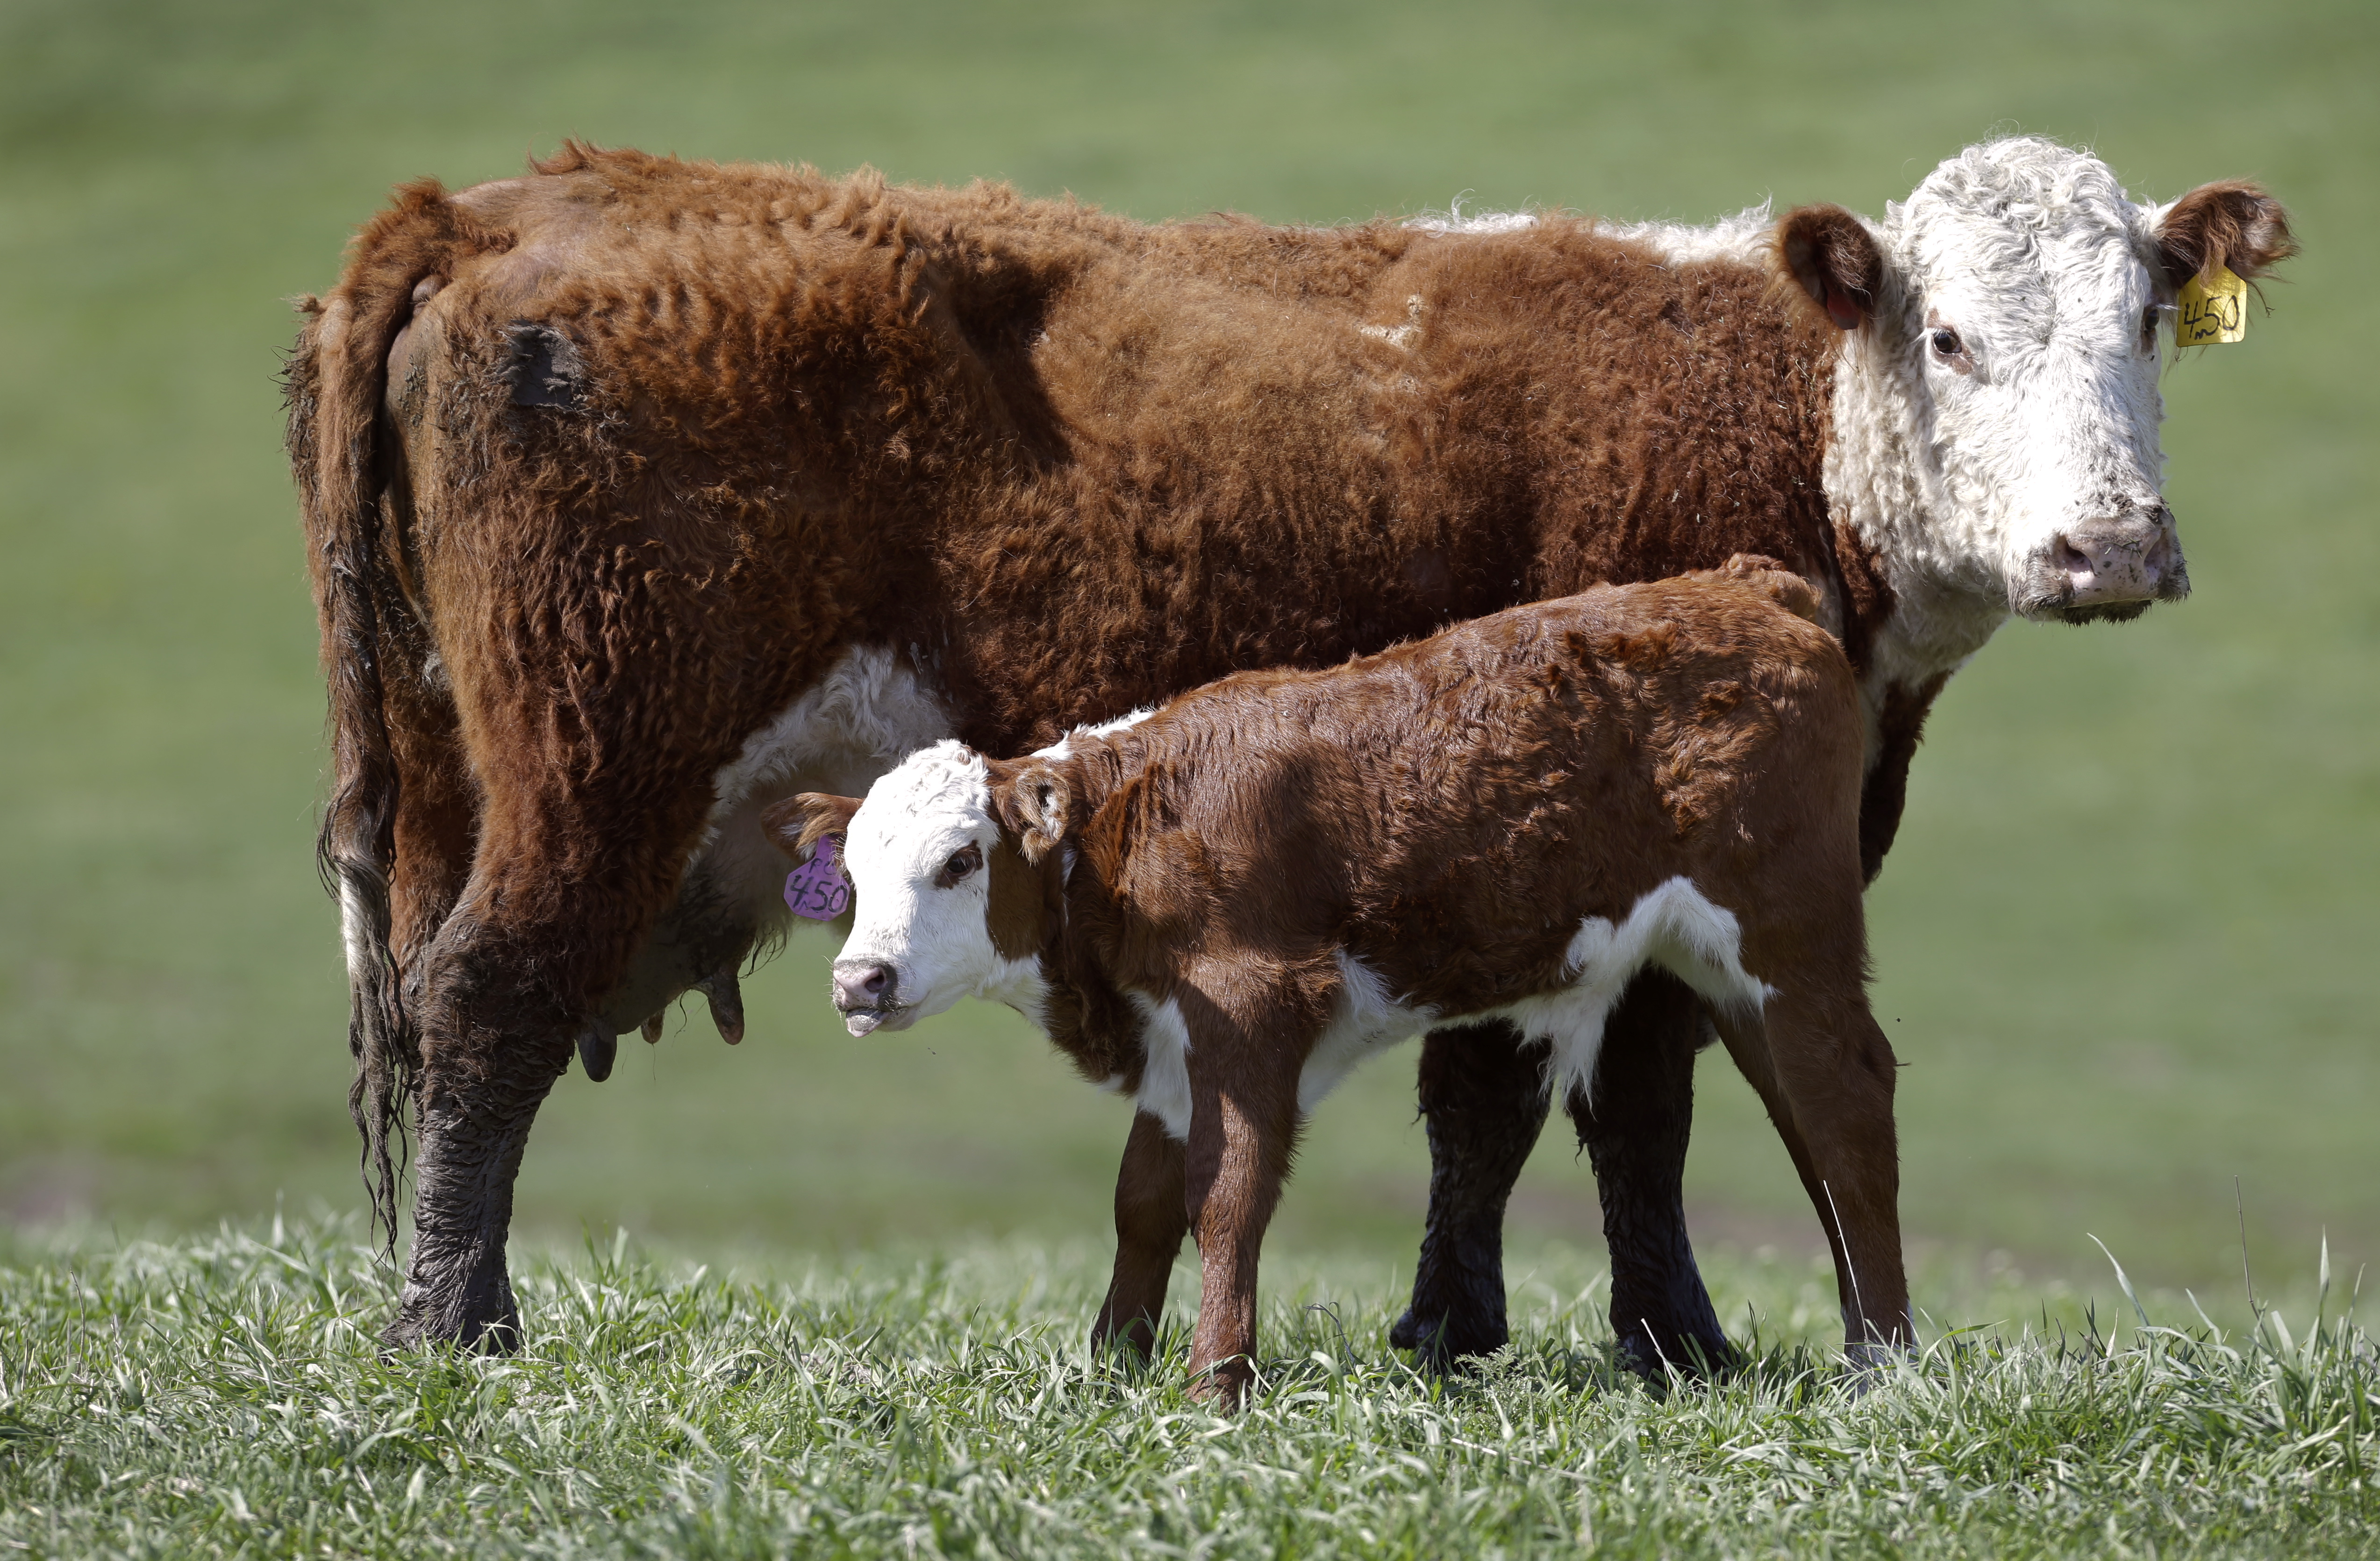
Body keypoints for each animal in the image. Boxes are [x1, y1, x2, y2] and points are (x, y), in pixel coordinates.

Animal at [771, 563, 1892, 1403]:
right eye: (855, 874)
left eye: (960, 859)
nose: (860, 979)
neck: (1129, 836)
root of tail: (1744, 586)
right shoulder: (1173, 1040)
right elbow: (1143, 1200)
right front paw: (1110, 1366)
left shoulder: (1252, 1010)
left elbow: (1226, 1194)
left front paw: (1215, 1384)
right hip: (1726, 968)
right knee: (1806, 1125)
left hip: (1787, 932)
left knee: (1843, 1107)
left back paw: (1883, 1363)